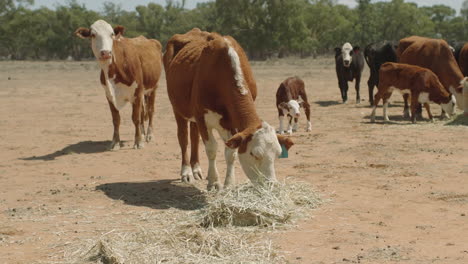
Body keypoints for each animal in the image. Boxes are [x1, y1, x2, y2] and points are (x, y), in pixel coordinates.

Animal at [75, 19, 163, 150]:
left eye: (111, 34)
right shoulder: (109, 95)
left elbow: (135, 118)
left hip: (153, 88)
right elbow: (116, 119)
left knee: (150, 111)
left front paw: (138, 142)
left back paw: (149, 135)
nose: (106, 53)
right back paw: (142, 133)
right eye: (93, 35)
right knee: (143, 112)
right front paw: (115, 142)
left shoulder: (137, 92)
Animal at [164, 28, 292, 190]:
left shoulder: (231, 122)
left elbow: (231, 152)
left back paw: (196, 169)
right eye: (254, 154)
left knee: (194, 137)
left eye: (277, 154)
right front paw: (214, 182)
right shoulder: (201, 117)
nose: (271, 185)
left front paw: (229, 183)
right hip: (178, 109)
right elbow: (211, 149)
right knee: (184, 139)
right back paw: (186, 171)